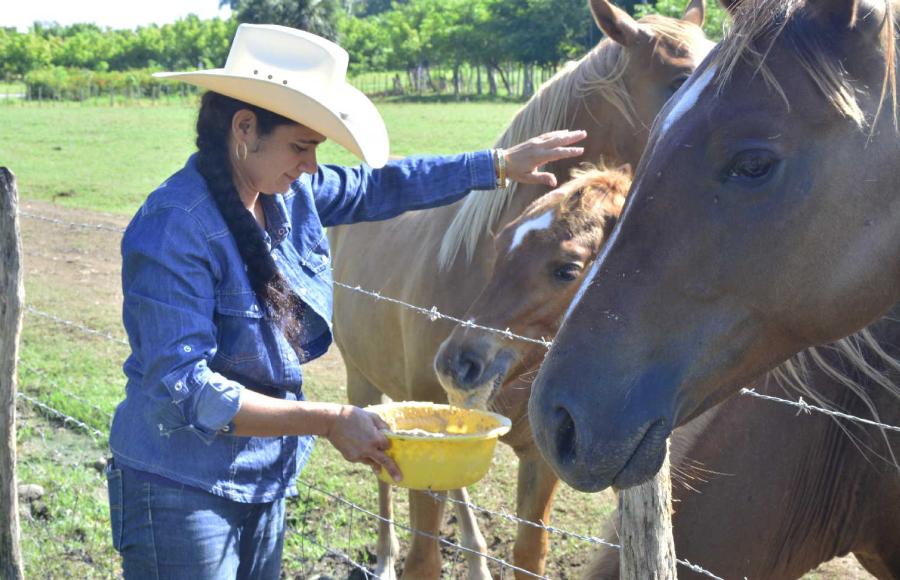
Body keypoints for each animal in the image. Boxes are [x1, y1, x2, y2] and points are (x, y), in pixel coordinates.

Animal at [326, 1, 712, 576]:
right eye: (682, 79)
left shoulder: (542, 454)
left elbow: (530, 552)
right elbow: (423, 554)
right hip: (363, 386)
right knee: (383, 488)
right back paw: (386, 556)